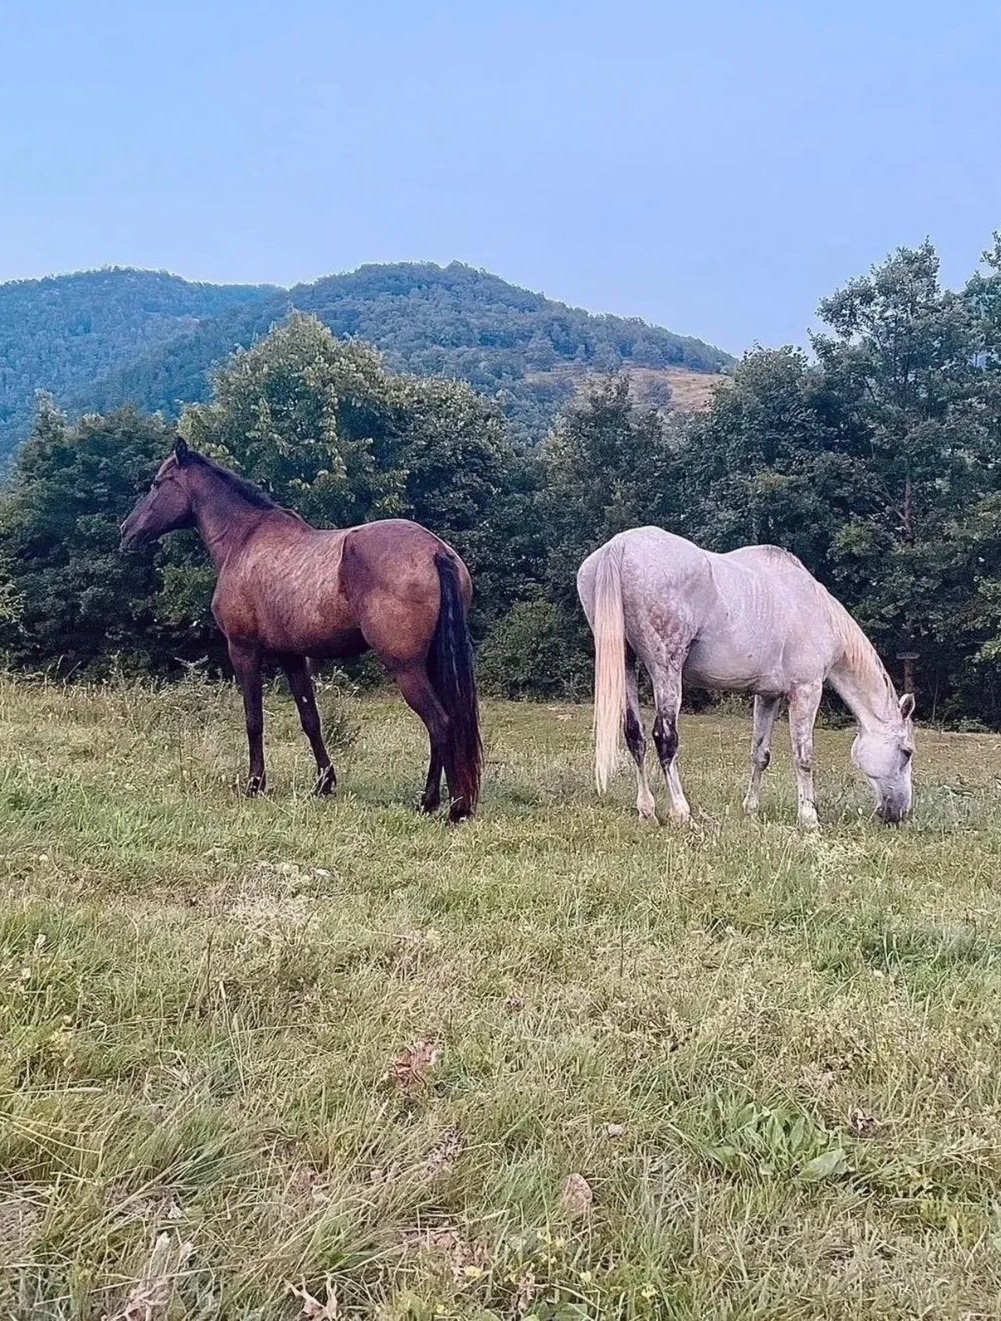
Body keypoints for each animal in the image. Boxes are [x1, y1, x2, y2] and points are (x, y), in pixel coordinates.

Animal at [120, 437, 482, 821]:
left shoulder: (244, 650)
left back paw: (432, 802)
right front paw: (324, 783)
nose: (126, 531)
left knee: (439, 722)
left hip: (406, 668)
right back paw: (457, 801)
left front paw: (255, 784)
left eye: (157, 484)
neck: (243, 540)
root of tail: (435, 551)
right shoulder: (291, 656)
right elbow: (311, 719)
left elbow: (253, 719)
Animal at [577, 527, 915, 828]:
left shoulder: (767, 696)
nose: (899, 813)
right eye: (907, 751)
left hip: (627, 665)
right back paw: (682, 813)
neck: (815, 609)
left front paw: (750, 809)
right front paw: (809, 819)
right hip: (665, 669)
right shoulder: (806, 691)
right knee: (664, 738)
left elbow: (760, 753)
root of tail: (619, 547)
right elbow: (803, 757)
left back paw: (647, 810)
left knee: (635, 735)